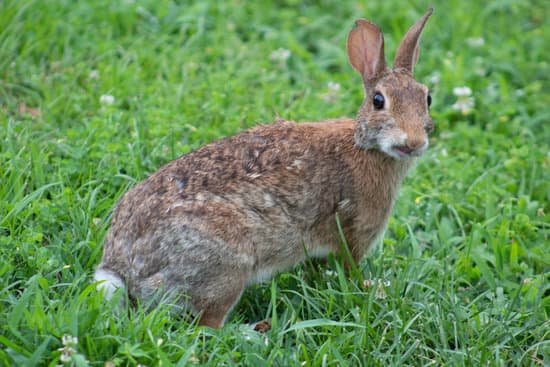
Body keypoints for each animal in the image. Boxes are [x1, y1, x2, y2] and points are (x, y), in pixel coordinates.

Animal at [97, 8, 438, 330]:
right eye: (378, 100)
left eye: (428, 98)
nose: (413, 142)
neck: (365, 146)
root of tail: (125, 270)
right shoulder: (352, 235)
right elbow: (348, 270)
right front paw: (369, 289)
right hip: (225, 268)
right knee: (206, 325)